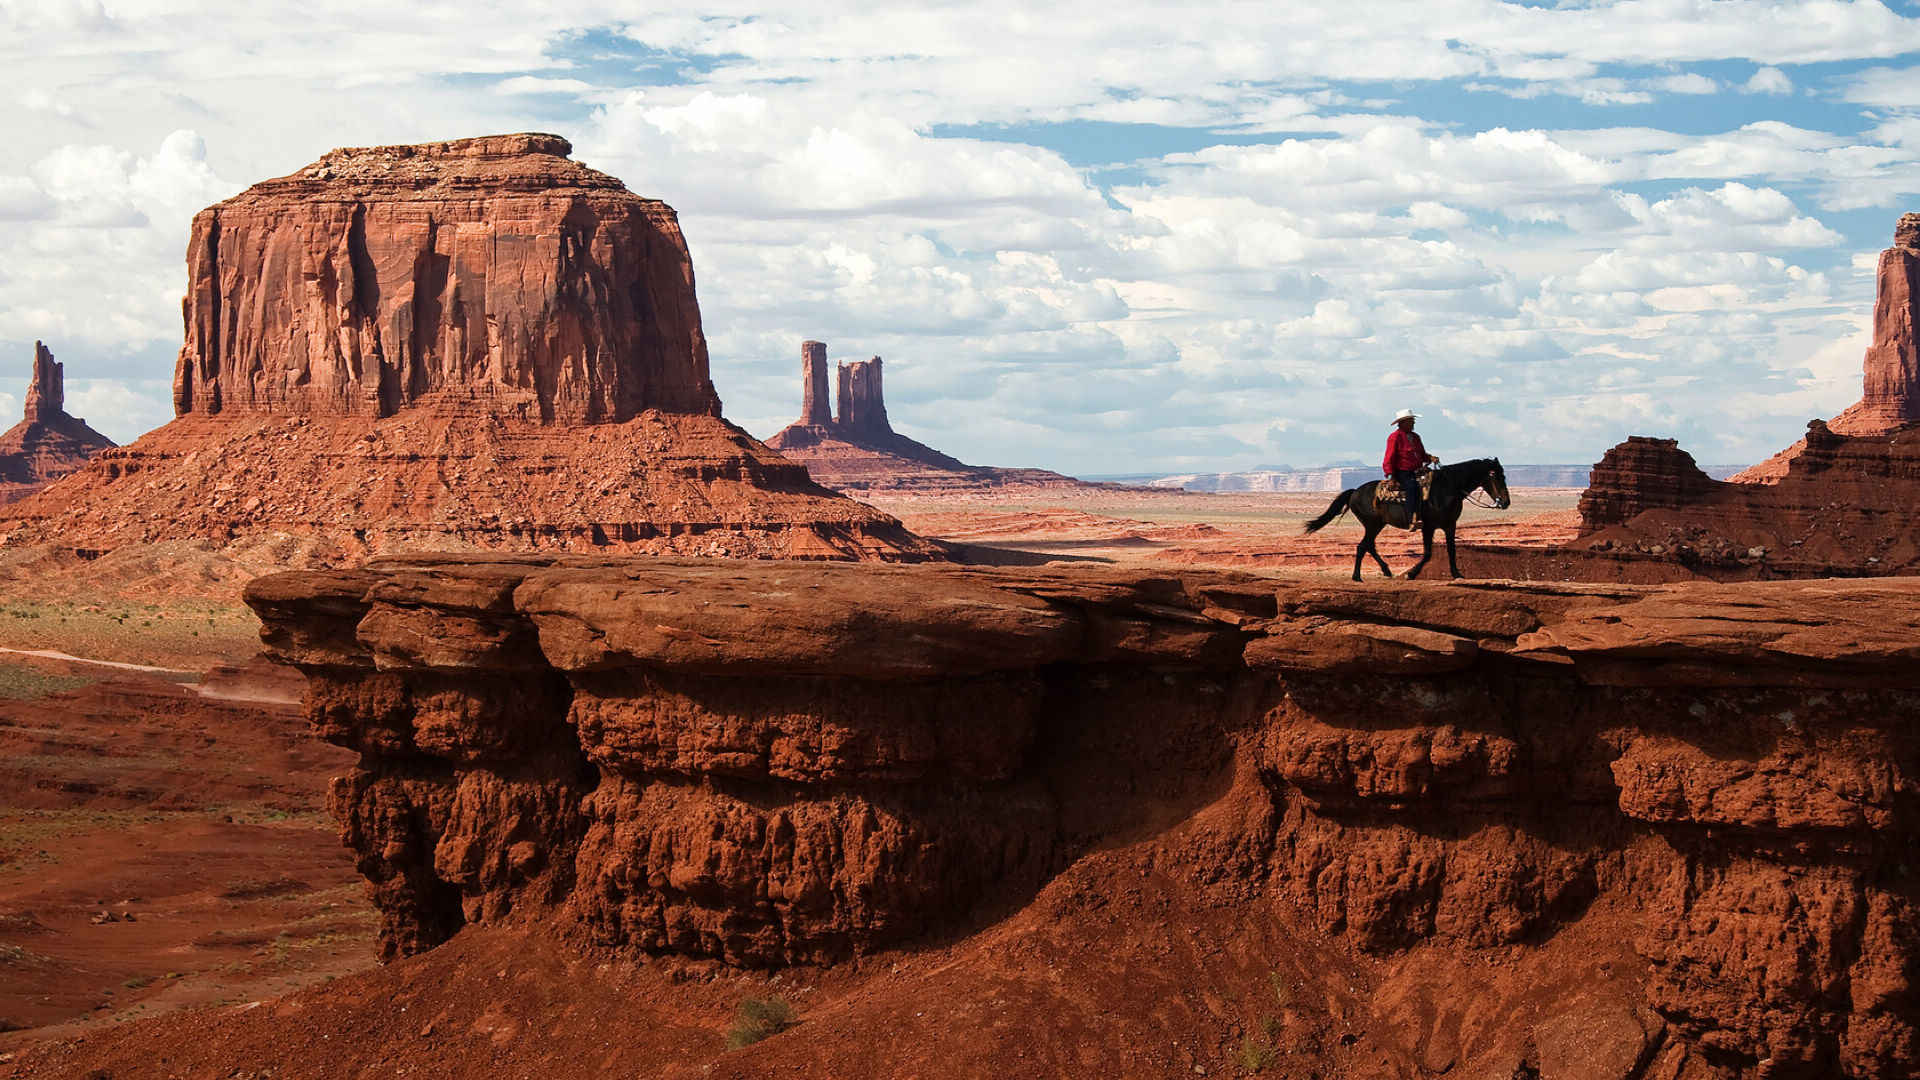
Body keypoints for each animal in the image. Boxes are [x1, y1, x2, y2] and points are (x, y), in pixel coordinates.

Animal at [1305, 455, 1512, 580]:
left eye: (1504, 475)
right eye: (1496, 476)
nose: (1506, 502)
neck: (1447, 489)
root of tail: (1355, 491)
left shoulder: (1450, 525)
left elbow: (1451, 550)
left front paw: (1457, 574)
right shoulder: (1428, 526)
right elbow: (1428, 553)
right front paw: (1411, 574)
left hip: (1377, 525)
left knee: (1368, 545)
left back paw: (1385, 571)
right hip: (1372, 524)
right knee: (1363, 546)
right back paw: (1358, 576)